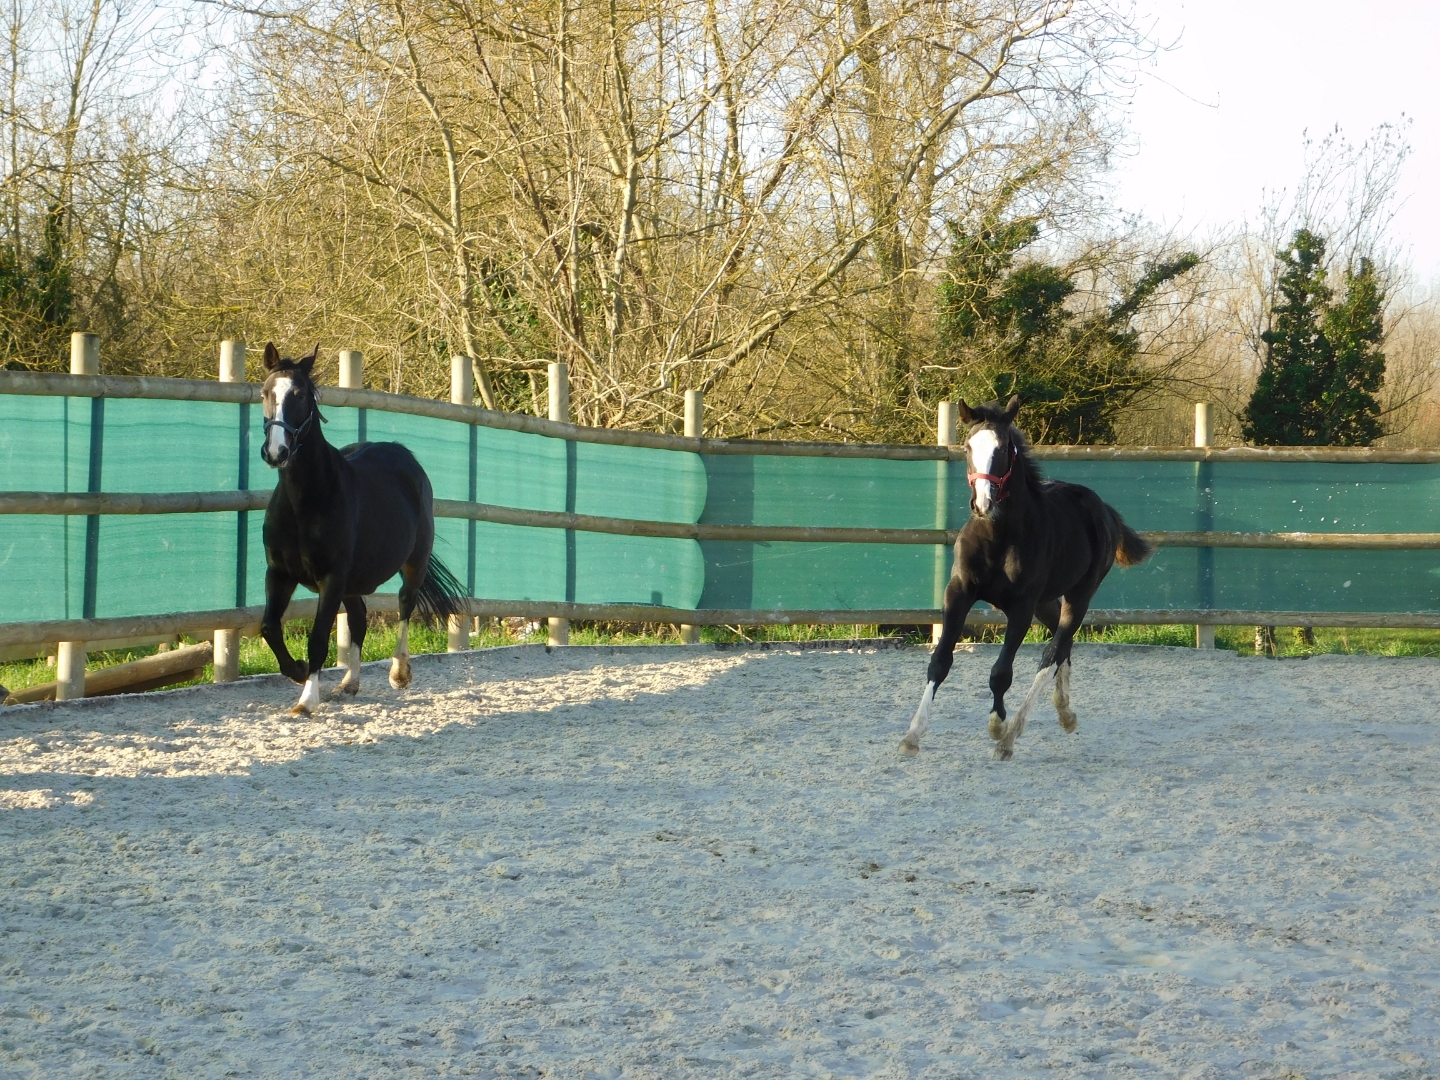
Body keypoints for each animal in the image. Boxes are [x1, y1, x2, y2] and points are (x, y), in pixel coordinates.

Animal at [257, 343, 466, 715]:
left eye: (299, 394)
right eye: (265, 393)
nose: (276, 451)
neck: (305, 502)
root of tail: (402, 453)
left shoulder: (332, 577)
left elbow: (317, 637)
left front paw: (306, 701)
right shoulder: (279, 573)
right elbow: (270, 627)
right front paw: (298, 670)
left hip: (412, 563)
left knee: (405, 602)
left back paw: (399, 672)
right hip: (353, 582)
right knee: (359, 618)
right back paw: (349, 683)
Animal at [900, 396, 1154, 760]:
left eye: (1003, 447)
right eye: (967, 446)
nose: (983, 503)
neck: (997, 535)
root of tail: (1103, 509)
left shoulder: (1020, 606)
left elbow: (1001, 673)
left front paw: (997, 726)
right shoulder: (959, 593)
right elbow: (939, 662)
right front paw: (912, 736)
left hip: (1079, 595)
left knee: (1053, 652)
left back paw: (1012, 735)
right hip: (1046, 602)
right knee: (1063, 647)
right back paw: (1065, 713)